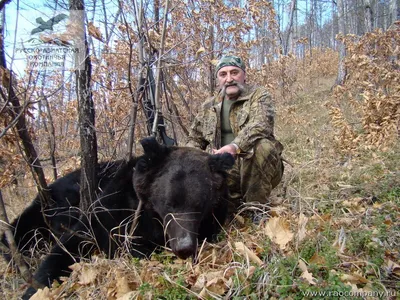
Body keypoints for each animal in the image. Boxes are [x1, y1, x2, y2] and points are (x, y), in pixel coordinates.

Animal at [0, 138, 234, 298]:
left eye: (199, 206)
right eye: (169, 204)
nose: (183, 247)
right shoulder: (112, 209)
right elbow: (71, 246)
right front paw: (34, 290)